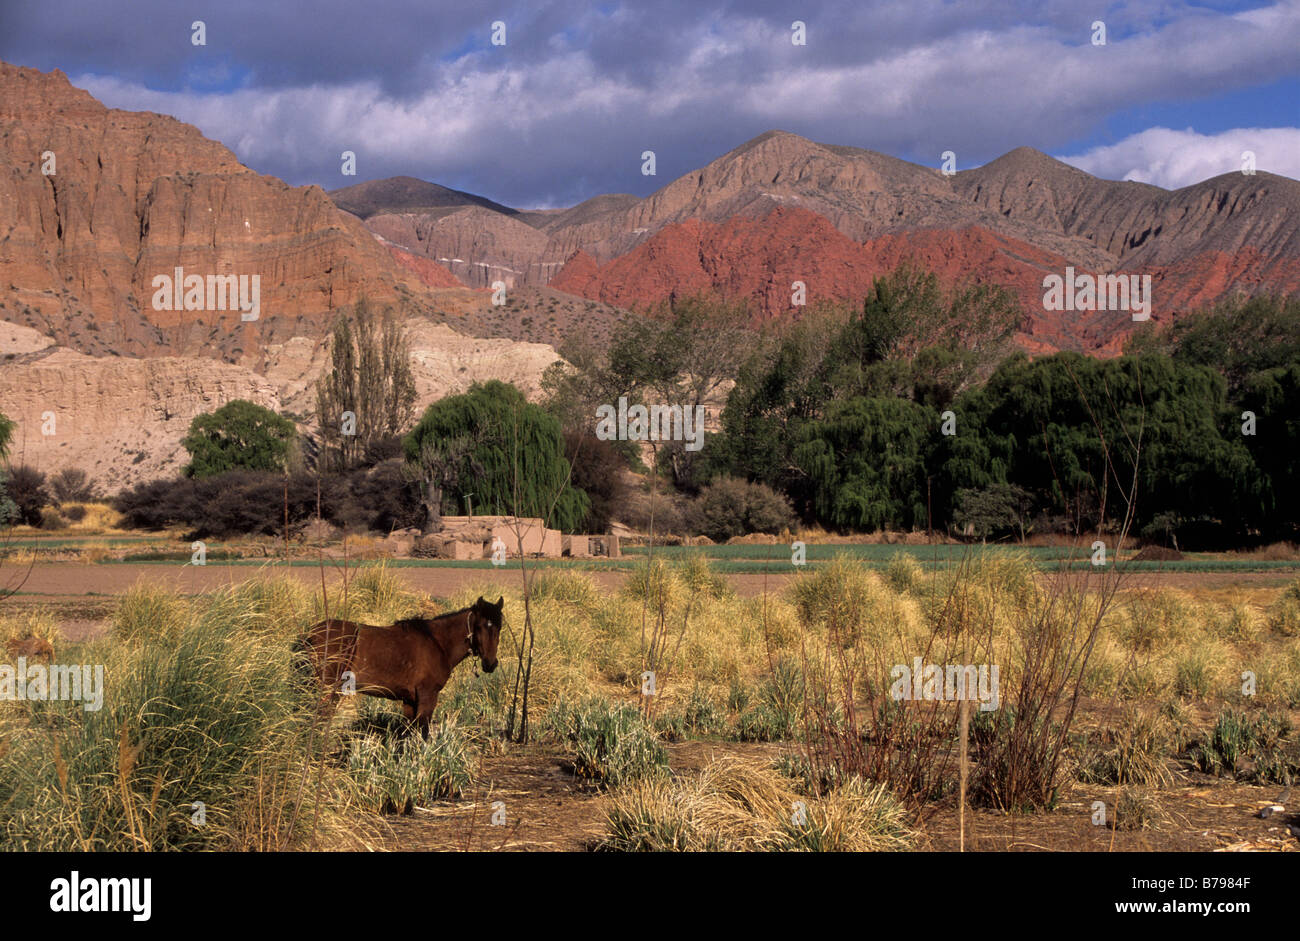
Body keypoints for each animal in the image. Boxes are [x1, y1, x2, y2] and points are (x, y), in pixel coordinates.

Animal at [296, 592, 501, 738]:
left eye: (499, 627)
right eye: (480, 626)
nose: (490, 664)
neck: (437, 642)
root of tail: (310, 634)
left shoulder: (409, 700)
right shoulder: (427, 696)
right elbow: (422, 733)